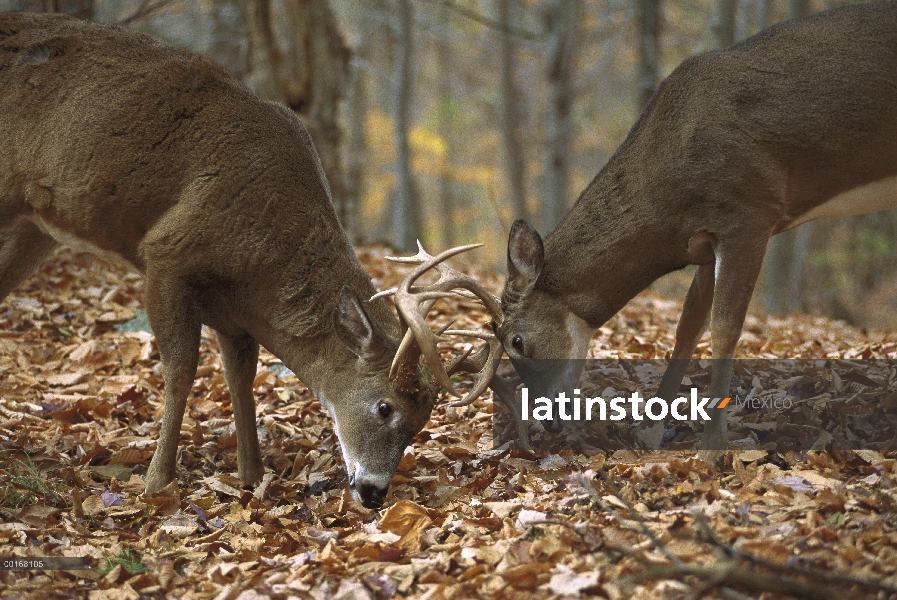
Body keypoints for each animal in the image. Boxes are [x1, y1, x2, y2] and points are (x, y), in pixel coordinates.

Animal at [1, 12, 504, 506]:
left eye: (422, 422)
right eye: (385, 407)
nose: (374, 492)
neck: (262, 259)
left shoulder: (235, 314)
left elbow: (240, 381)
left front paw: (251, 479)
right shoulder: (167, 254)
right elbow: (181, 370)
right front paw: (156, 482)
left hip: (34, 228)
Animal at [496, 0, 896, 450]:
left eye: (515, 340)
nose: (547, 420)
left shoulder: (749, 211)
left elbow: (724, 330)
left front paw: (712, 447)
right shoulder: (703, 240)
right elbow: (687, 329)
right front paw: (651, 431)